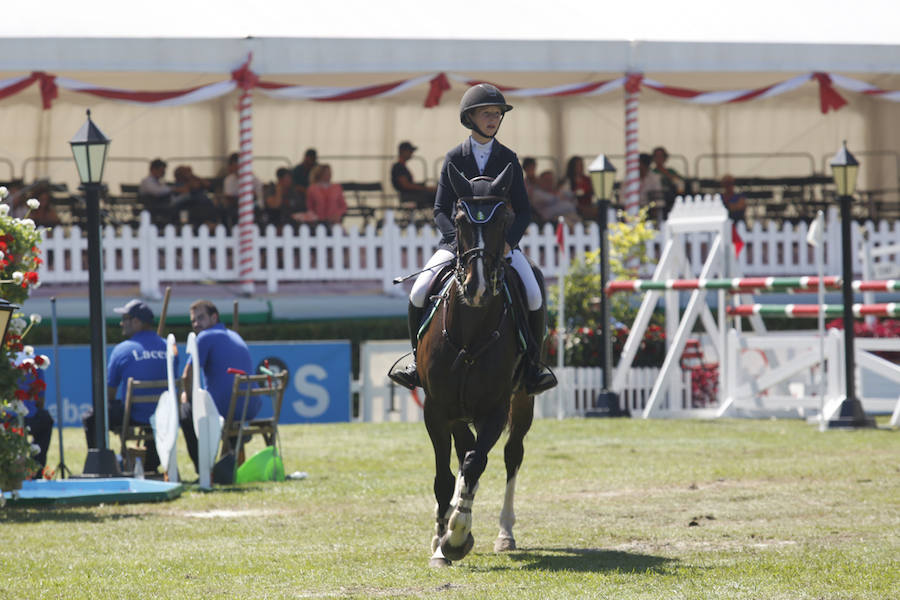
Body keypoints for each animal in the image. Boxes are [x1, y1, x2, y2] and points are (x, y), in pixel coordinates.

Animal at [416, 163, 536, 568]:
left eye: (504, 219)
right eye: (458, 219)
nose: (477, 287)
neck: (469, 332)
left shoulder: (495, 410)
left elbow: (474, 463)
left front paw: (457, 535)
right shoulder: (437, 409)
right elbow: (444, 474)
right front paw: (441, 542)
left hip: (523, 401)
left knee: (509, 456)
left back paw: (505, 532)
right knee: (464, 452)